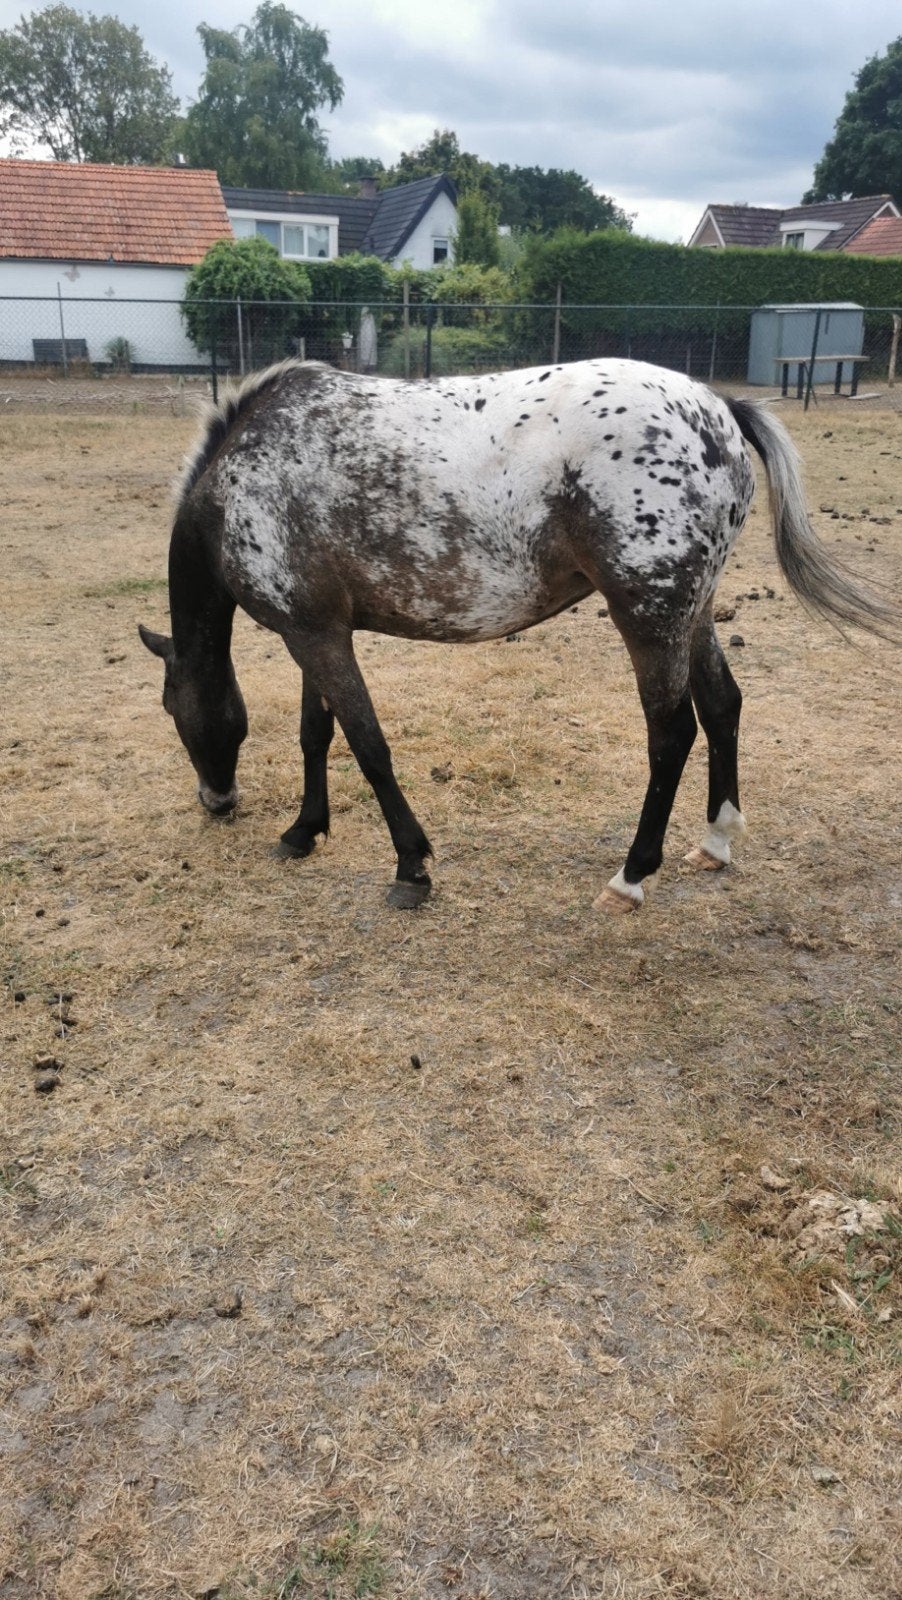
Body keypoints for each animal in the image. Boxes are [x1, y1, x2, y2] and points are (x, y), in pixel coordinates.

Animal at [139, 357, 894, 912]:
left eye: (174, 710)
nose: (216, 802)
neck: (241, 477)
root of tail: (718, 409)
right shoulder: (316, 631)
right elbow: (316, 734)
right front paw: (303, 831)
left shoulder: (315, 637)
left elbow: (369, 745)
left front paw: (410, 866)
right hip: (694, 611)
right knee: (723, 707)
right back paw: (715, 841)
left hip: (650, 618)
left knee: (673, 732)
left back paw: (631, 876)